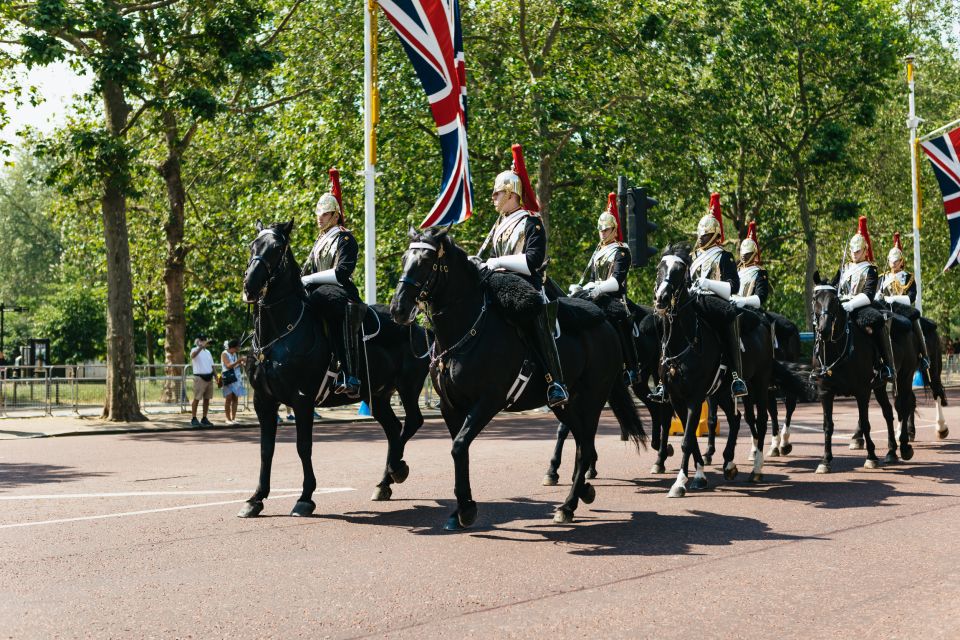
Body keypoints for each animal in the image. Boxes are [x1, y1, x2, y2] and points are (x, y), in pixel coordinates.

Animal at [236, 222, 428, 516]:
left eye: (277, 248)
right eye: (252, 245)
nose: (250, 285)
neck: (279, 334)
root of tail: (417, 327)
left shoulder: (302, 399)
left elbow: (303, 446)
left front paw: (305, 497)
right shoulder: (263, 400)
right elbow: (266, 449)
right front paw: (256, 498)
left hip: (407, 387)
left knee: (412, 422)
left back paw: (397, 468)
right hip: (377, 396)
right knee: (394, 428)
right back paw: (384, 483)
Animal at [390, 228, 644, 528]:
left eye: (427, 261)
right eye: (404, 258)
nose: (398, 309)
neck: (466, 331)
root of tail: (605, 320)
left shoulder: (488, 401)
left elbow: (459, 446)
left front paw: (466, 509)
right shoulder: (451, 406)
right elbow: (458, 449)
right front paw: (458, 509)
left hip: (592, 399)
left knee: (585, 446)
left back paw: (568, 505)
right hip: (567, 405)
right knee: (581, 441)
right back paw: (579, 490)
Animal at [648, 242, 776, 498]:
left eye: (680, 271)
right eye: (660, 267)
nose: (662, 299)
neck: (684, 340)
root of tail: (762, 321)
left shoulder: (695, 397)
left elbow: (687, 439)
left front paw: (679, 483)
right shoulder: (676, 397)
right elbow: (691, 439)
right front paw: (698, 476)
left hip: (758, 382)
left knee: (761, 419)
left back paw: (756, 469)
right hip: (723, 391)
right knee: (736, 419)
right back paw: (729, 464)